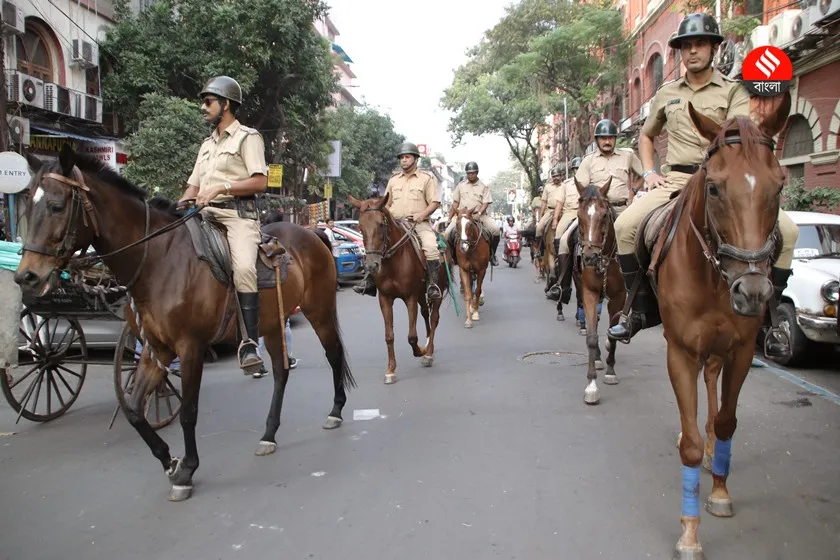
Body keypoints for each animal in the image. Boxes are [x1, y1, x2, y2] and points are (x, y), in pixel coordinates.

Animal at [14, 147, 354, 500]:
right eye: (26, 206)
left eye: (57, 205)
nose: (26, 276)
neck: (157, 260)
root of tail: (312, 233)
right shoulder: (157, 349)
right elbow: (134, 409)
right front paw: (169, 461)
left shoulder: (190, 348)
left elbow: (189, 413)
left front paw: (187, 470)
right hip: (273, 323)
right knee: (280, 372)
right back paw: (269, 433)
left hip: (319, 310)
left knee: (333, 354)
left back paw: (335, 412)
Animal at [348, 194, 450, 384]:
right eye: (360, 226)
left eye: (381, 224)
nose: (372, 265)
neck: (393, 261)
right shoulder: (385, 298)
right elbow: (389, 336)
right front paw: (390, 370)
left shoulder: (410, 297)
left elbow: (411, 336)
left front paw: (420, 351)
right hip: (421, 293)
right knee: (425, 313)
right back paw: (428, 345)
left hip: (436, 292)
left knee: (434, 318)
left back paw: (428, 353)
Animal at [660, 94, 792, 556]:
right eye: (714, 187)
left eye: (780, 186)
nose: (752, 291)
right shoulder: (680, 350)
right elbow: (688, 443)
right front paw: (689, 531)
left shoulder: (741, 350)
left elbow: (727, 422)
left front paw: (718, 490)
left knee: (713, 385)